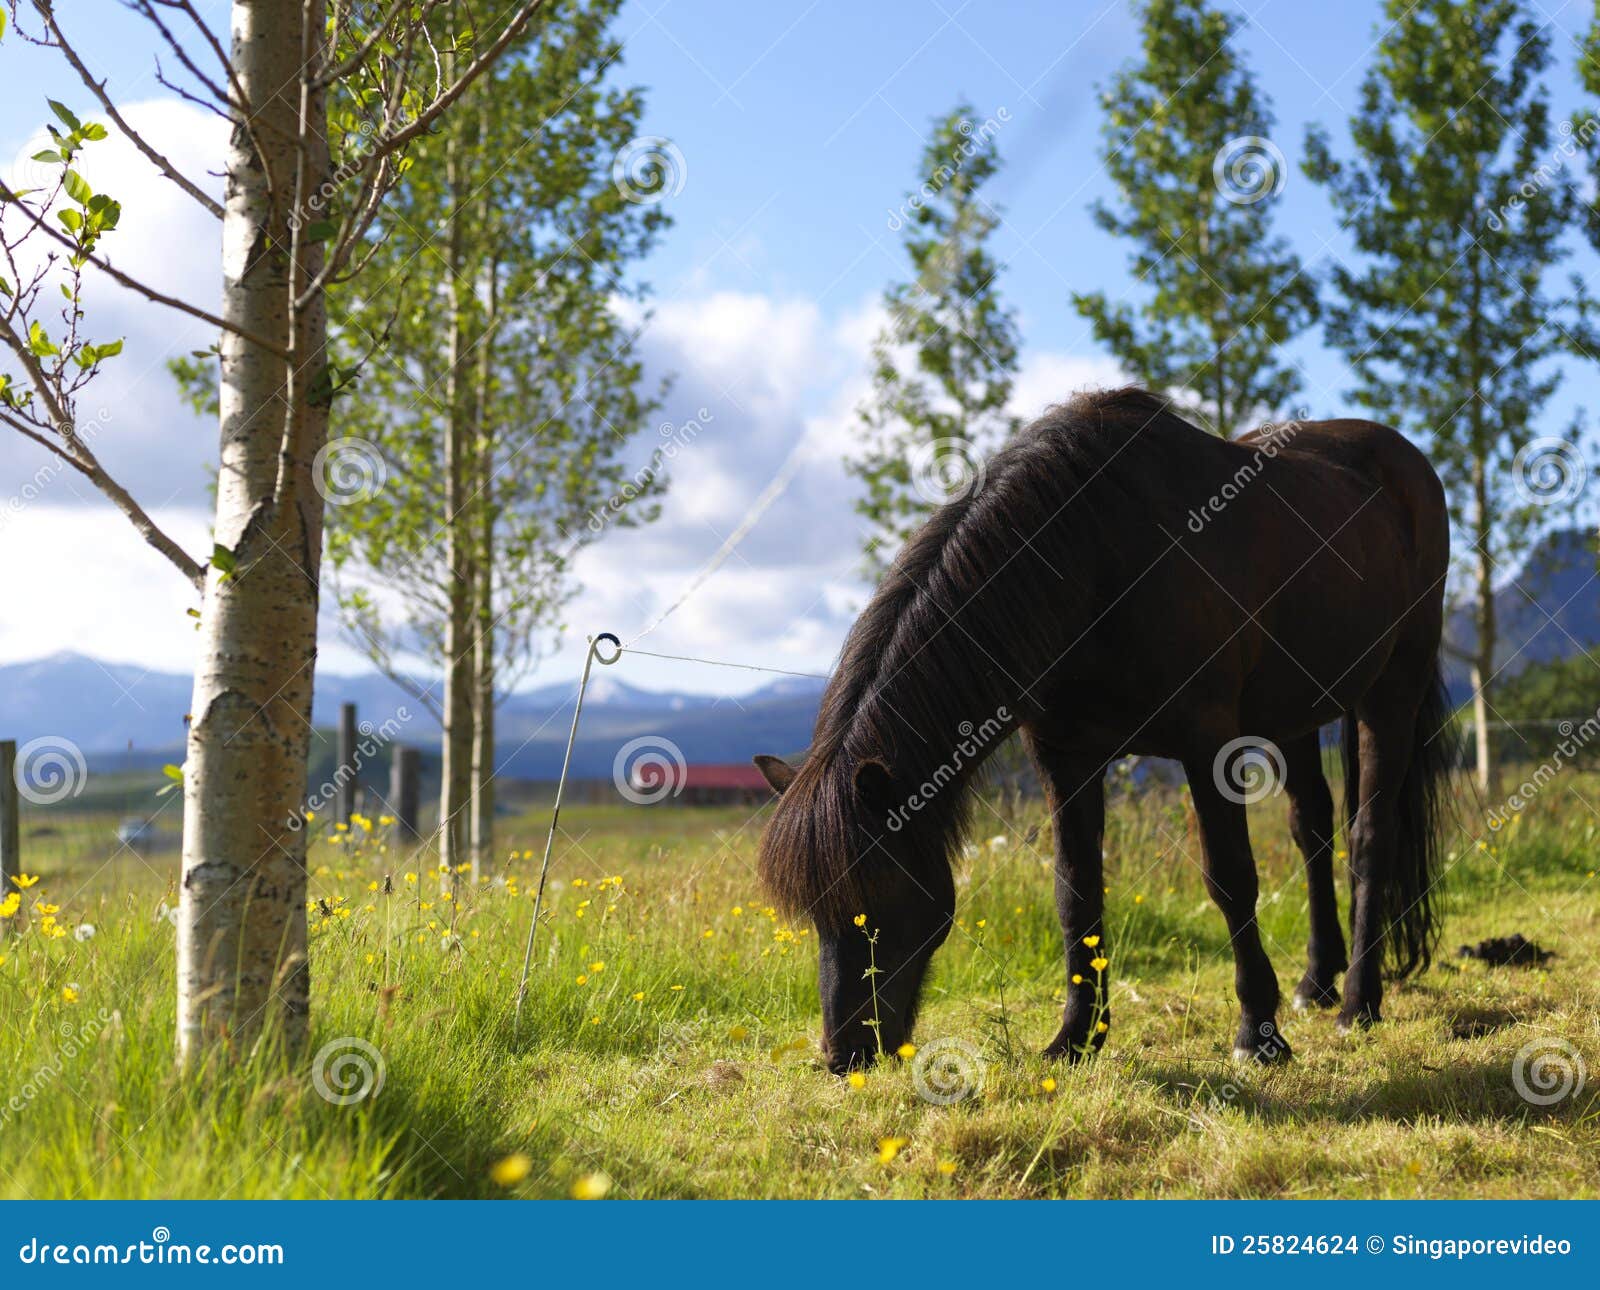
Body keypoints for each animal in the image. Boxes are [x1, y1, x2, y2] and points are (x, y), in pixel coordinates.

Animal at [753, 386, 1455, 1075]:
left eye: (874, 897)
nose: (843, 1054)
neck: (1096, 556)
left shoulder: (1206, 742)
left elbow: (1230, 879)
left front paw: (1259, 1035)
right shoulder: (1065, 756)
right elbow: (1076, 890)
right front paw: (1075, 1037)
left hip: (1392, 690)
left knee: (1370, 839)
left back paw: (1359, 1002)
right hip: (1295, 714)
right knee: (1311, 826)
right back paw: (1317, 982)